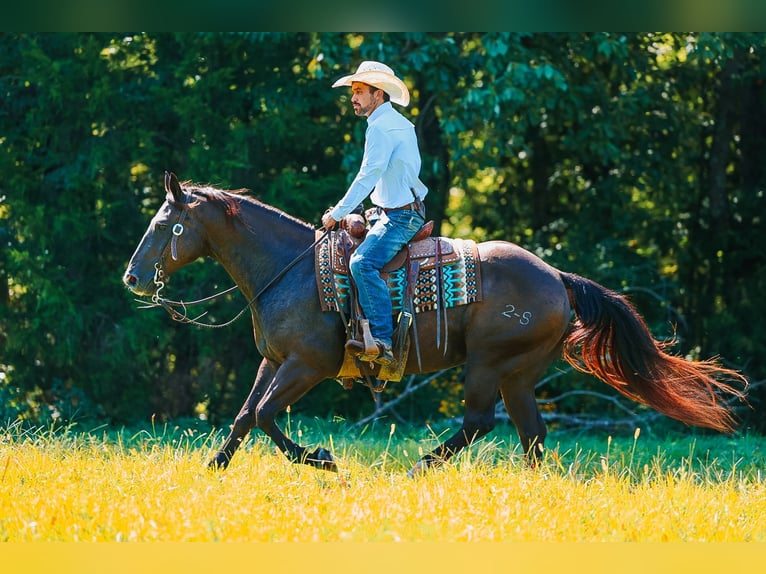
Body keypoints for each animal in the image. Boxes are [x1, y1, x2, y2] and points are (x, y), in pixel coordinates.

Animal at [123, 172, 748, 475]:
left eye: (162, 225)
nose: (132, 277)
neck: (289, 270)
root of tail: (557, 277)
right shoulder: (272, 361)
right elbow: (244, 416)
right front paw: (212, 468)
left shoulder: (307, 365)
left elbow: (268, 417)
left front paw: (322, 458)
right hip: (517, 373)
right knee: (530, 434)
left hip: (489, 363)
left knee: (479, 423)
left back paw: (416, 468)